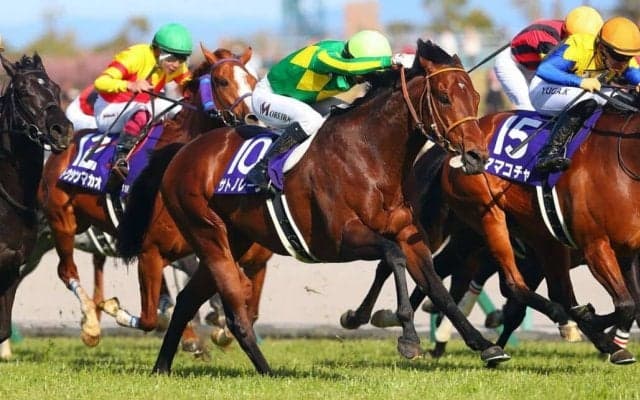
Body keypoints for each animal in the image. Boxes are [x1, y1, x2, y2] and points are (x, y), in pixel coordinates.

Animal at [37, 45, 257, 348]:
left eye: (253, 81)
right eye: (222, 81)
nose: (252, 120)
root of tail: (59, 150)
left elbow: (237, 286)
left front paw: (221, 328)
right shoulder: (152, 247)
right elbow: (150, 317)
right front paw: (115, 310)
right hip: (62, 222)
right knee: (66, 271)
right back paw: (91, 325)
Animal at [126, 39, 511, 375]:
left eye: (475, 97)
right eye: (444, 97)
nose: (477, 155)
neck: (369, 154)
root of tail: (182, 152)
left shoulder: (408, 233)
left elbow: (437, 289)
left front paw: (485, 346)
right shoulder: (340, 239)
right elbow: (393, 257)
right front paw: (406, 337)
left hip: (231, 240)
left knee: (186, 301)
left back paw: (162, 366)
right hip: (208, 235)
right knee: (235, 313)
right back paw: (268, 371)